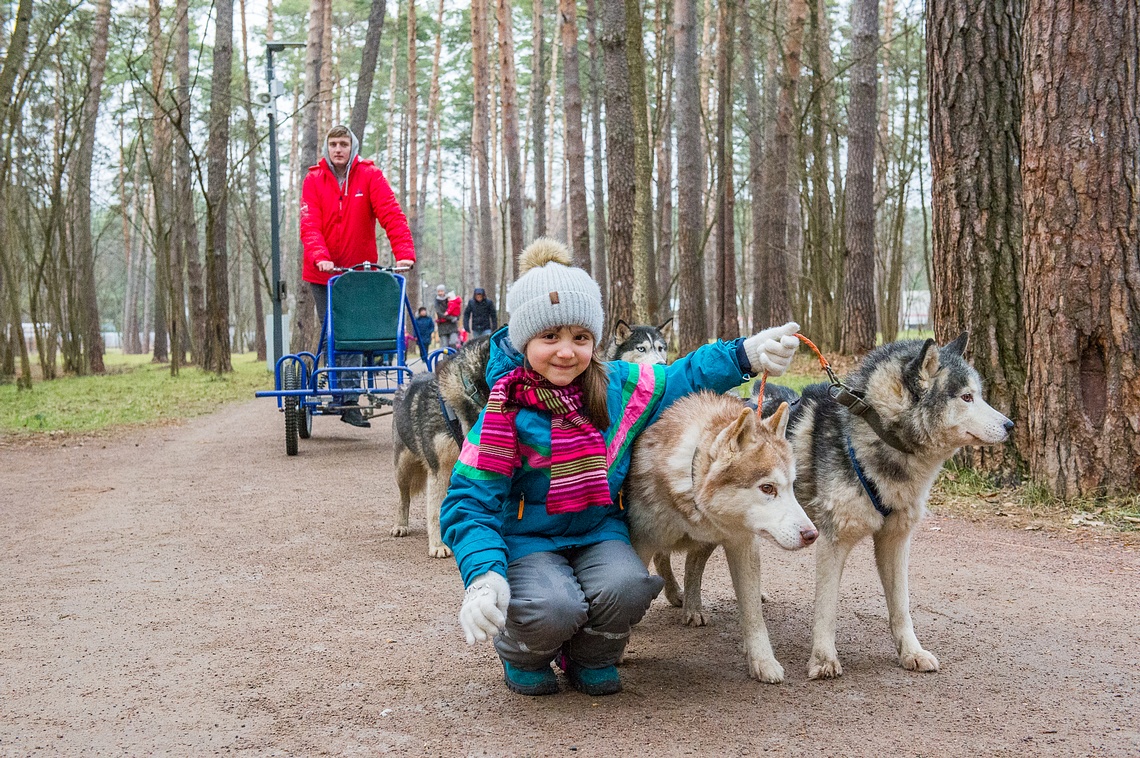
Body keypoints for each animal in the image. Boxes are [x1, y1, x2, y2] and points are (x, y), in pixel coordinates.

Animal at [392, 337, 490, 556]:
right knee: (403, 497)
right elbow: (436, 511)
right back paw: (400, 524)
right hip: (403, 467)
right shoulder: (439, 470)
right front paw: (438, 545)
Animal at [624, 392, 820, 683]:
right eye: (767, 488)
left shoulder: (742, 544)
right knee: (665, 558)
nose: (811, 534)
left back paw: (691, 606)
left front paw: (763, 662)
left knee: (692, 566)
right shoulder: (641, 542)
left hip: (709, 541)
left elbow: (753, 614)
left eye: (791, 487)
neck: (689, 481)